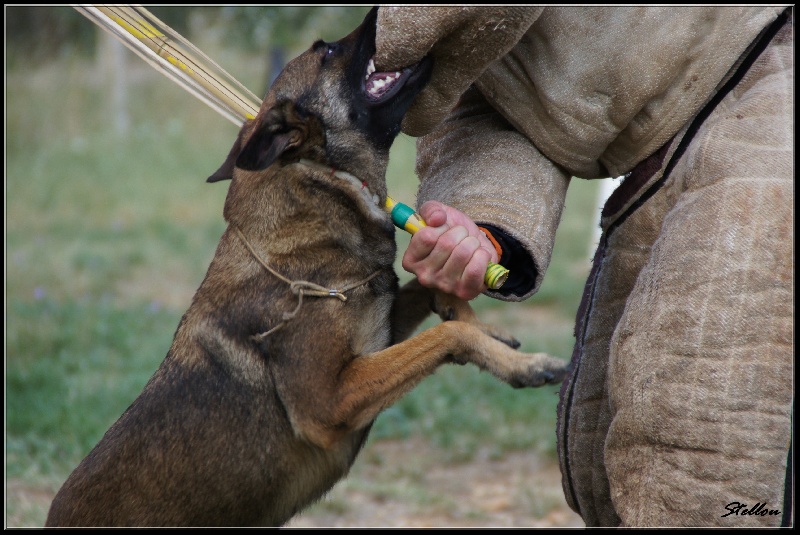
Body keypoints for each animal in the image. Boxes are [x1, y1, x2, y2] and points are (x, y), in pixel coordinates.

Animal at [45, 7, 568, 528]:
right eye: (328, 51)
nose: (378, 15)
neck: (318, 182)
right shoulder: (329, 403)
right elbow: (445, 335)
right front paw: (522, 364)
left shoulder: (377, 334)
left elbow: (426, 288)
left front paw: (481, 321)